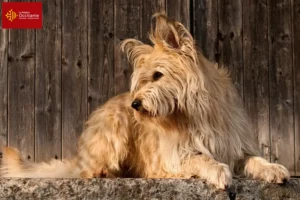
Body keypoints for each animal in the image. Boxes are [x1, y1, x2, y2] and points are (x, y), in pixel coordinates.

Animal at [0, 12, 290, 189]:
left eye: (158, 75)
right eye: (142, 79)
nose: (135, 105)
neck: (196, 114)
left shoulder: (234, 145)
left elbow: (253, 158)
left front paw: (272, 168)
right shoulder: (174, 156)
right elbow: (199, 158)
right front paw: (218, 169)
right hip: (114, 127)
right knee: (86, 170)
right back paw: (103, 172)